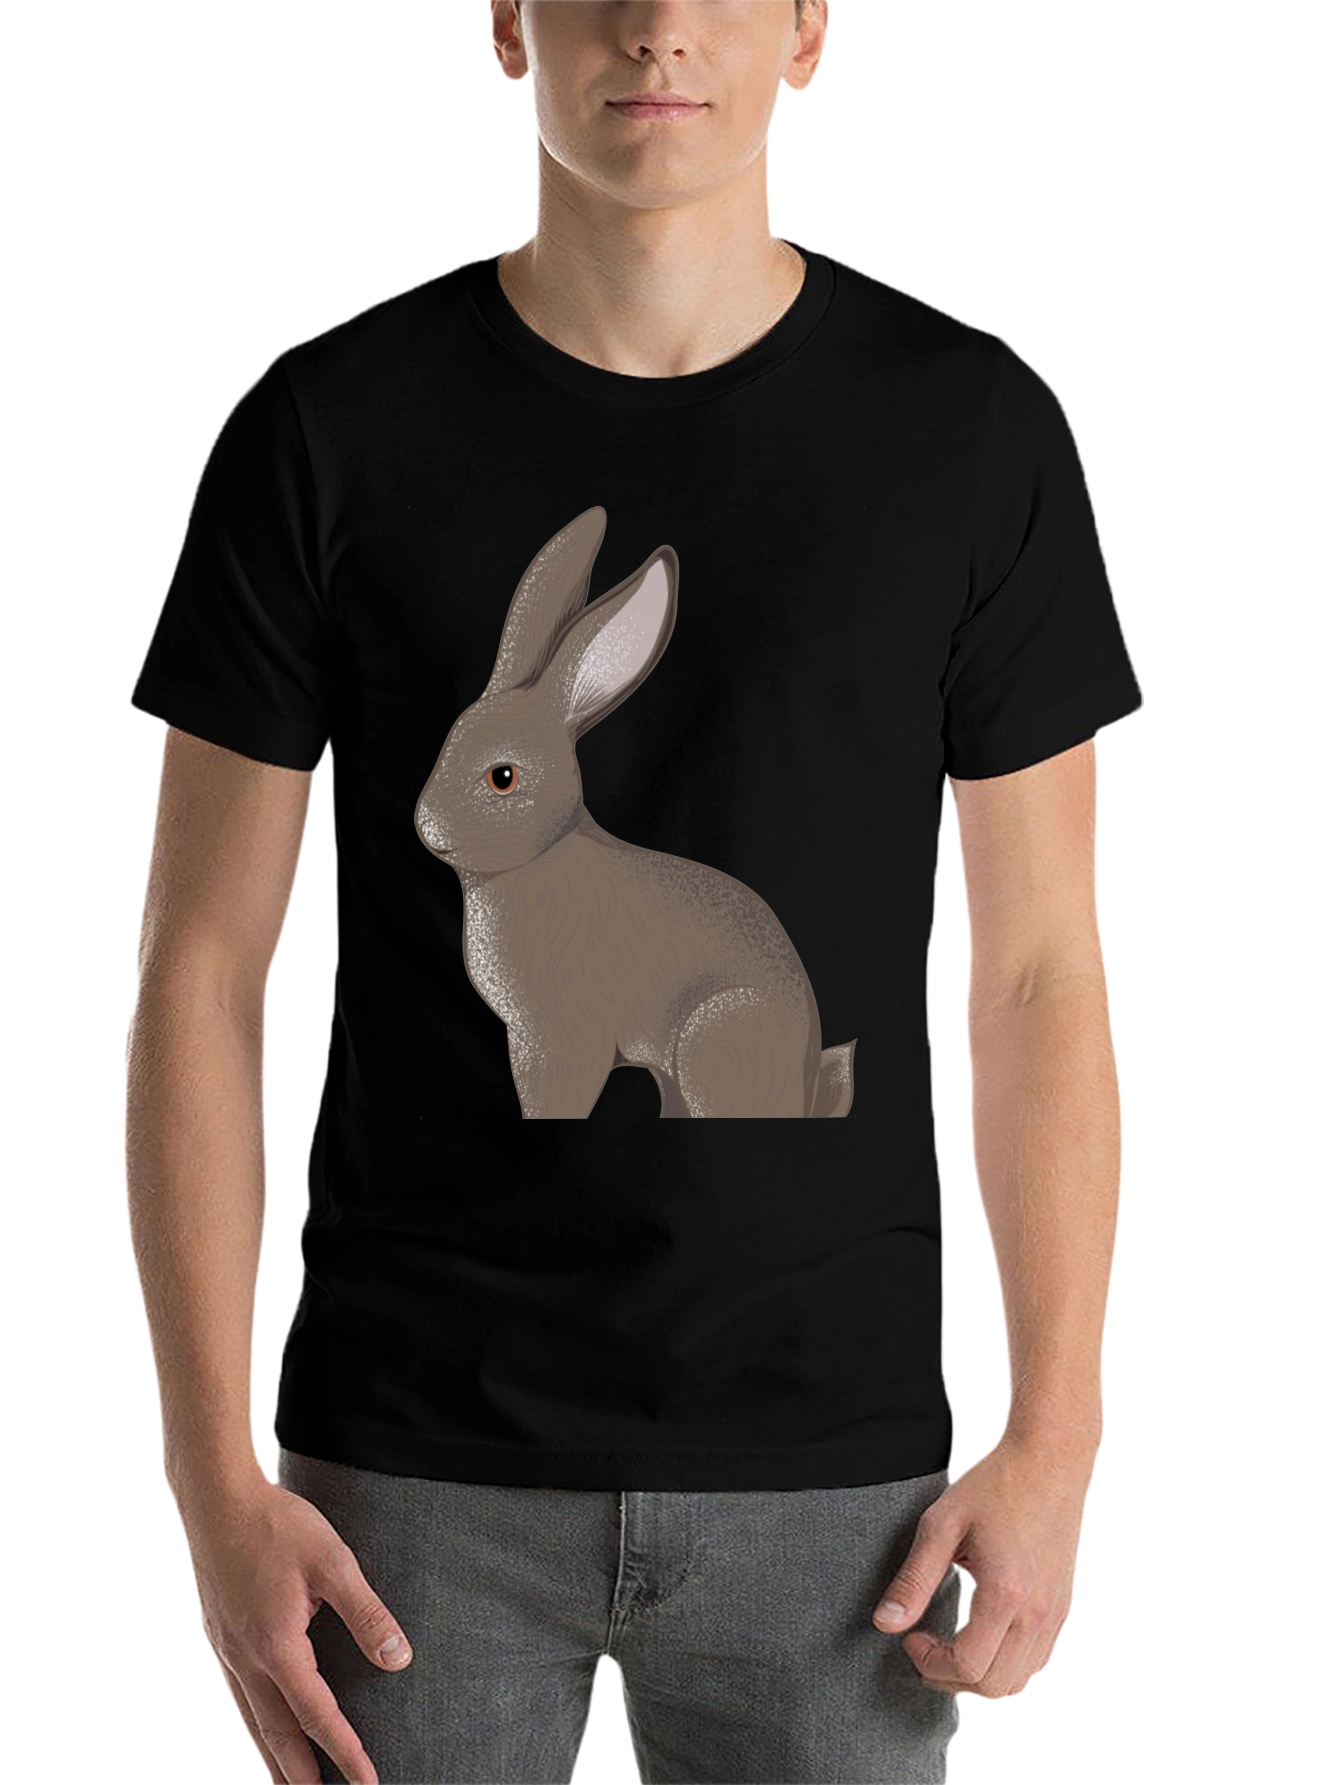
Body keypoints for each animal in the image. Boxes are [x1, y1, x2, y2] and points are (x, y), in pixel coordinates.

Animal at [415, 506, 855, 1119]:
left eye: (503, 778)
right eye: (449, 740)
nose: (426, 823)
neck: (540, 856)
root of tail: (806, 1089)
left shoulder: (565, 1040)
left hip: (713, 1039)